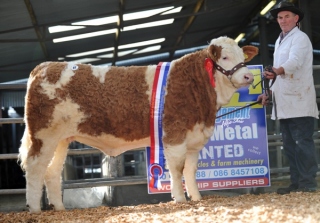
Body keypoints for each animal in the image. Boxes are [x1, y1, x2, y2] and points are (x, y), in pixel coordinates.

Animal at [17, 36, 258, 213]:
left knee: (52, 172)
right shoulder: (175, 135)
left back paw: (59, 208)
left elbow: (191, 170)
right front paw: (180, 199)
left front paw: (197, 198)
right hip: (44, 135)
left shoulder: (194, 139)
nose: (248, 76)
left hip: (61, 139)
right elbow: (177, 169)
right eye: (225, 57)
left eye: (242, 56)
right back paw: (35, 210)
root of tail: (43, 67)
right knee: (35, 168)